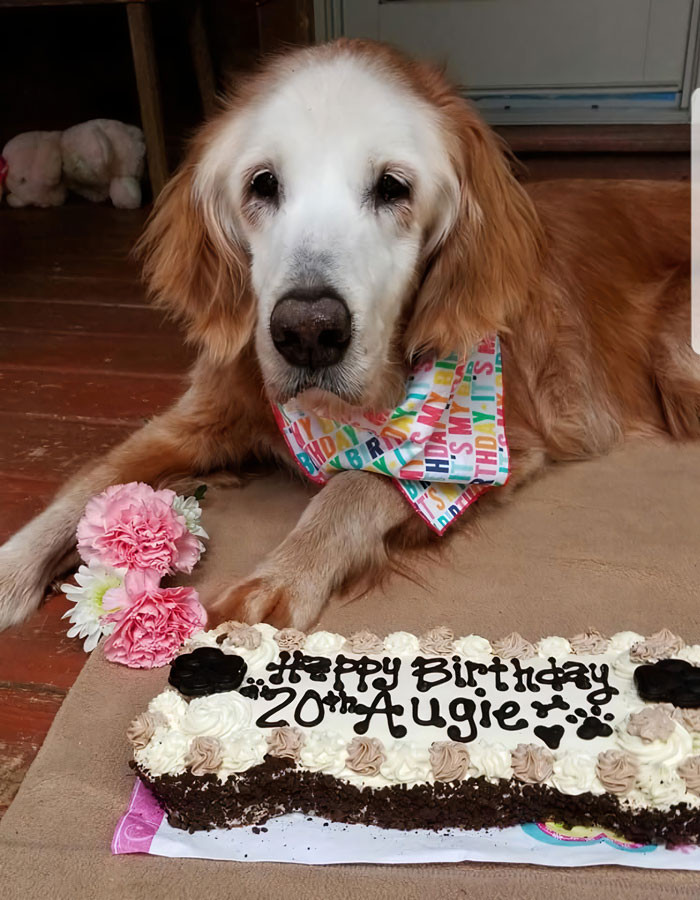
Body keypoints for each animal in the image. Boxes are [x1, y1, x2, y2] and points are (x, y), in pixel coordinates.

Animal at [0, 40, 696, 632]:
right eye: (263, 183)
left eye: (393, 187)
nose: (308, 333)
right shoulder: (201, 414)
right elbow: (91, 478)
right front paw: (12, 566)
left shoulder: (496, 450)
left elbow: (356, 483)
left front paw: (280, 578)